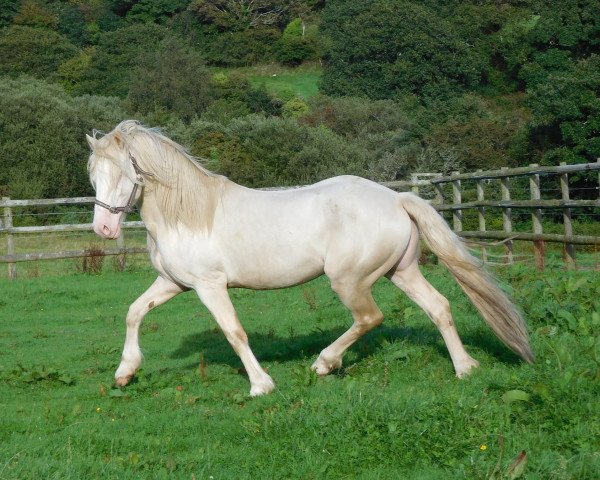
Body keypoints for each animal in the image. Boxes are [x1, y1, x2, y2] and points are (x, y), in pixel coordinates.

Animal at [86, 121, 532, 398]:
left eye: (124, 173)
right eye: (93, 175)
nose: (103, 229)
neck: (190, 215)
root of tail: (397, 198)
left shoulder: (209, 285)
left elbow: (234, 332)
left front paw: (261, 385)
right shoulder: (174, 283)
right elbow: (134, 312)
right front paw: (125, 372)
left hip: (349, 280)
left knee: (370, 318)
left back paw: (324, 363)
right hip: (401, 272)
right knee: (439, 308)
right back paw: (465, 368)